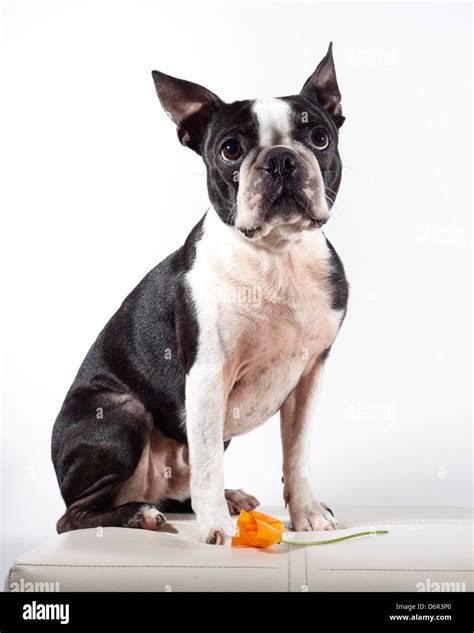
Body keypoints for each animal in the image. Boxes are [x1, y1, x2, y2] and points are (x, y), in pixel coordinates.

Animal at [51, 43, 348, 544]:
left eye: (319, 138)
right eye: (231, 150)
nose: (281, 159)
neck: (276, 256)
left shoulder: (310, 374)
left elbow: (297, 454)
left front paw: (307, 513)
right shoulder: (208, 377)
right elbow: (209, 464)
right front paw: (218, 531)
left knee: (177, 487)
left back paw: (221, 500)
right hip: (122, 409)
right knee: (74, 516)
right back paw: (141, 514)